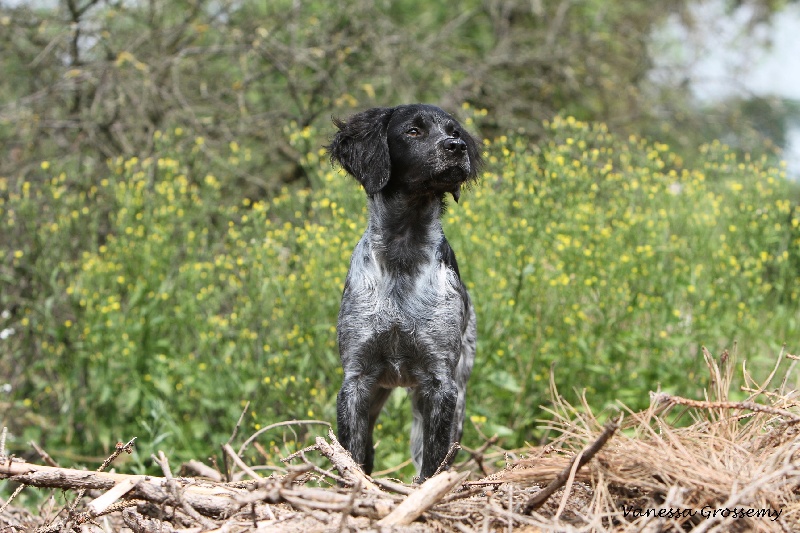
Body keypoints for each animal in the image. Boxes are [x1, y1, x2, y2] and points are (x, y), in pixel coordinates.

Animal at [326, 104, 482, 482]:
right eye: (413, 131)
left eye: (454, 131)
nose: (457, 147)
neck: (403, 253)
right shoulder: (356, 381)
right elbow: (352, 455)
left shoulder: (441, 385)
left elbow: (433, 463)